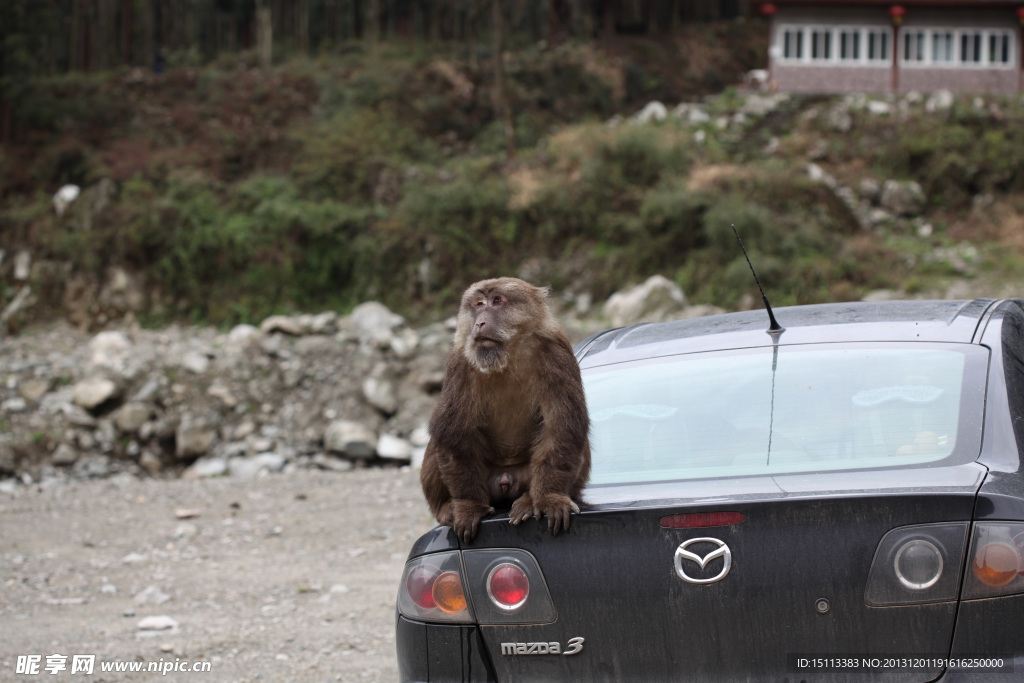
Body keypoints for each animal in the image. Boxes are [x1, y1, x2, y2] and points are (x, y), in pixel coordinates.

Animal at [417, 274, 593, 540]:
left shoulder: (556, 353)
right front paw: (469, 506)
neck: (508, 354)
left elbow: (562, 425)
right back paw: (446, 507)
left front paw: (550, 498)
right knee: (438, 441)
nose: (480, 322)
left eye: (497, 301)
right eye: (479, 304)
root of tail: (505, 479)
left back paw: (529, 500)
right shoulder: (460, 364)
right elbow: (453, 432)